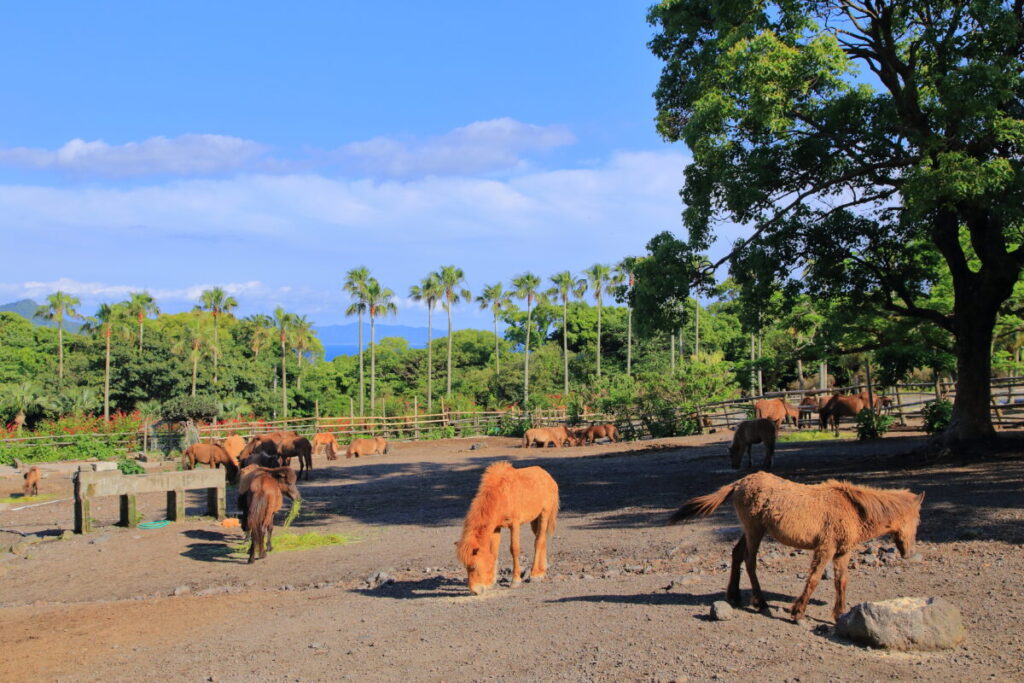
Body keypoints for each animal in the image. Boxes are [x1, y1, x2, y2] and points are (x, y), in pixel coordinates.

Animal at [456, 462, 559, 595]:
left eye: (473, 567)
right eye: (466, 567)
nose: (475, 591)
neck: (501, 495)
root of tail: (548, 477)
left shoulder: (514, 524)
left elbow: (514, 549)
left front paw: (515, 581)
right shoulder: (496, 527)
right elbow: (494, 552)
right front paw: (491, 582)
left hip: (544, 514)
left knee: (539, 541)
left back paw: (535, 575)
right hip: (534, 520)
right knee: (542, 540)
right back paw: (542, 571)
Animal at [669, 471, 924, 623]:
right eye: (917, 520)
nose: (909, 553)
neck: (853, 508)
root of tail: (739, 483)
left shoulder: (842, 552)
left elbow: (841, 581)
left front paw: (840, 613)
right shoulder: (825, 548)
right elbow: (814, 578)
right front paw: (798, 611)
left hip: (750, 530)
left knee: (737, 554)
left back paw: (734, 596)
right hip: (754, 531)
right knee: (750, 561)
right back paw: (760, 602)